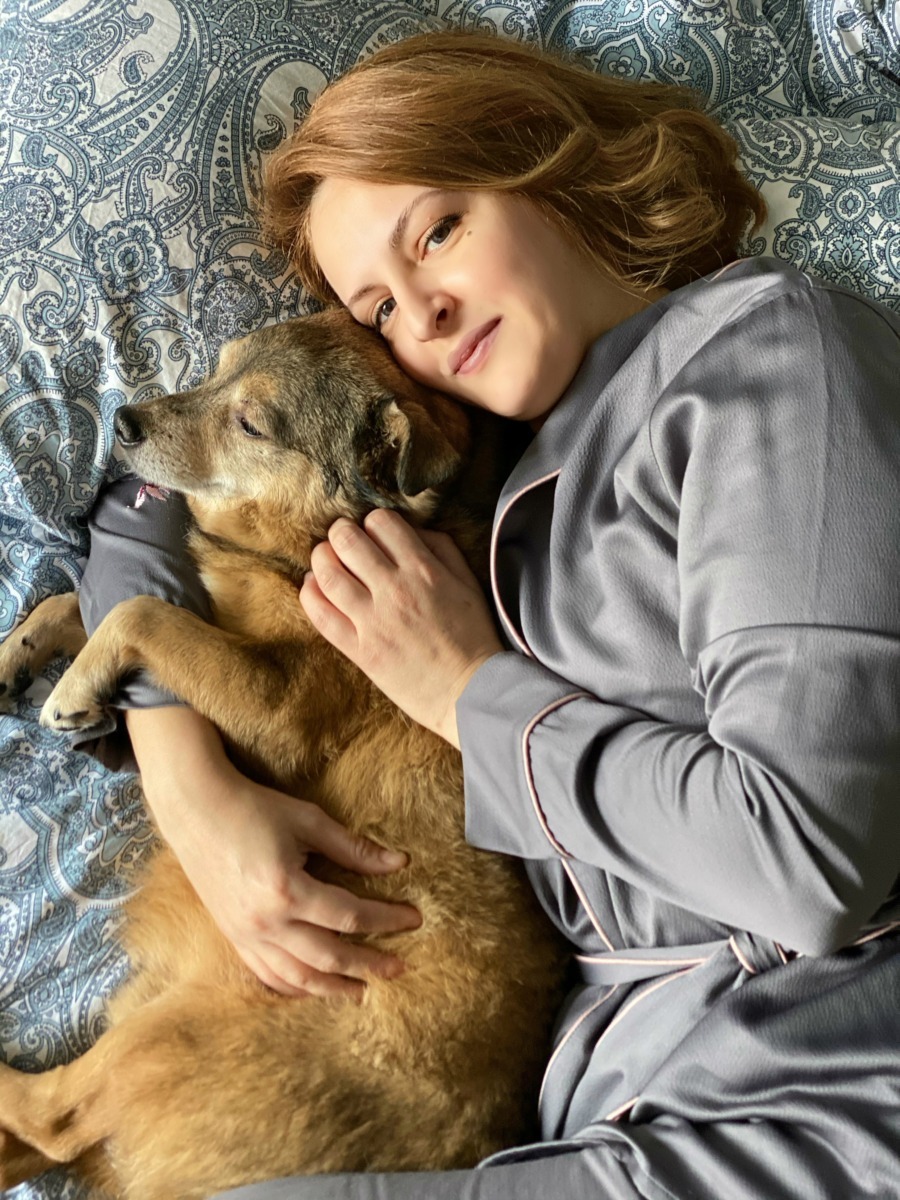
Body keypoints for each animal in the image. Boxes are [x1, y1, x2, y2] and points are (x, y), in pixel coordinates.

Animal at [0, 309, 569, 1200]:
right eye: (218, 367)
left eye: (253, 424)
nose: (123, 423)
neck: (309, 542)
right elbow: (83, 601)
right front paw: (19, 654)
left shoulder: (276, 709)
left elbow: (140, 613)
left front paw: (77, 687)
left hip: (171, 1037)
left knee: (47, 1117)